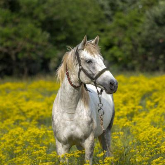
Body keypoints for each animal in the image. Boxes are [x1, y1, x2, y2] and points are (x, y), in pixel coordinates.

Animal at [52, 35, 118, 164]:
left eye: (102, 59)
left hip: (106, 133)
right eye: (89, 61)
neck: (70, 111)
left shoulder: (88, 143)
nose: (113, 84)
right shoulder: (62, 147)